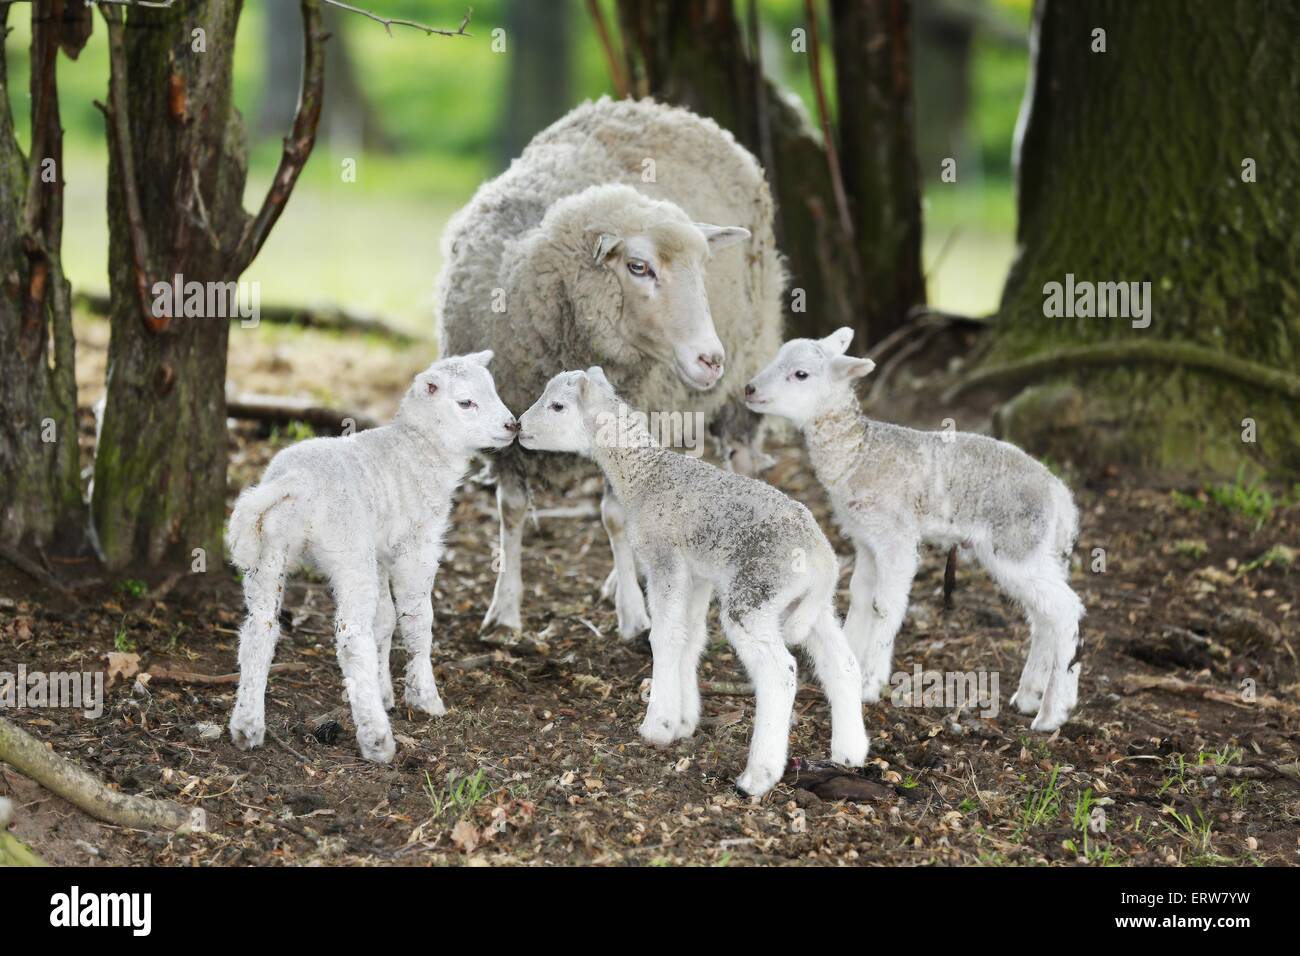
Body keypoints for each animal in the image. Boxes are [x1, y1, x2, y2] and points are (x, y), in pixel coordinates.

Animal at [228, 351, 517, 764]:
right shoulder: (417, 543)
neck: (419, 448)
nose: (513, 426)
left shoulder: (379, 549)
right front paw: (423, 696)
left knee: (259, 628)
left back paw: (247, 725)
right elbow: (416, 617)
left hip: (269, 550)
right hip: (348, 551)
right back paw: (376, 738)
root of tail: (293, 481)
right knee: (351, 636)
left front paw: (385, 691)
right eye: (466, 402)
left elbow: (384, 619)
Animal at [436, 95, 780, 642]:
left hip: (747, 362)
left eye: (704, 267)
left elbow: (615, 516)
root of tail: (668, 109)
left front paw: (634, 617)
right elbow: (511, 511)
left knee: (741, 460)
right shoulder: (506, 430)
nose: (710, 359)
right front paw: (505, 610)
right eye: (639, 267)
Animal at [512, 369, 868, 801]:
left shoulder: (662, 559)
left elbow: (663, 636)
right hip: (805, 605)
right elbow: (689, 636)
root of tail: (821, 558)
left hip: (755, 595)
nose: (519, 426)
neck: (643, 476)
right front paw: (683, 721)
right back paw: (850, 752)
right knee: (842, 662)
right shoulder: (695, 574)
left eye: (558, 406)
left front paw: (658, 726)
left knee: (780, 673)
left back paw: (758, 776)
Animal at [743, 329, 1086, 733]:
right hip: (1038, 549)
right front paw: (850, 658)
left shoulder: (896, 537)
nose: (749, 388)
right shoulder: (865, 540)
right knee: (1044, 616)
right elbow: (860, 596)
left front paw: (870, 683)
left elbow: (885, 604)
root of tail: (1059, 494)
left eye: (800, 374)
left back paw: (1053, 712)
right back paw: (1029, 696)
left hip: (1016, 543)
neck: (859, 453)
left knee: (1065, 610)